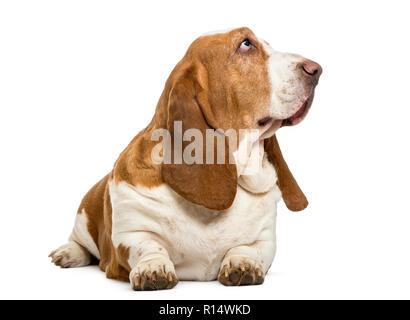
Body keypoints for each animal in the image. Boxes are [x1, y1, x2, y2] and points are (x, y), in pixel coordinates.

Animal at [49, 28, 322, 290]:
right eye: (246, 44)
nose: (316, 69)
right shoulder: (129, 236)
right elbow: (149, 246)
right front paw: (153, 268)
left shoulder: (265, 239)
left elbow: (247, 248)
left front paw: (242, 263)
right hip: (84, 213)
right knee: (80, 242)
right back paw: (68, 253)